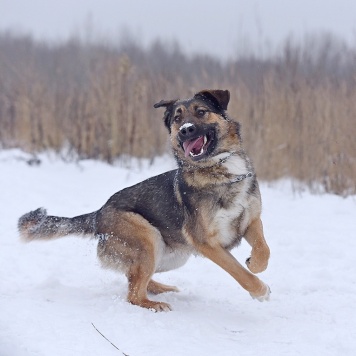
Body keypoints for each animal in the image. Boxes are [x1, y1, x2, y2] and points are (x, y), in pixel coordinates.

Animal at [18, 89, 270, 312]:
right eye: (177, 119)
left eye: (201, 112)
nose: (185, 131)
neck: (221, 169)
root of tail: (98, 214)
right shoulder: (206, 243)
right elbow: (237, 271)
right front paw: (259, 290)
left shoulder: (251, 220)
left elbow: (263, 250)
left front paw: (254, 263)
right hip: (149, 239)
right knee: (133, 293)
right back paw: (154, 303)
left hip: (172, 256)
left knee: (134, 277)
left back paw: (161, 289)